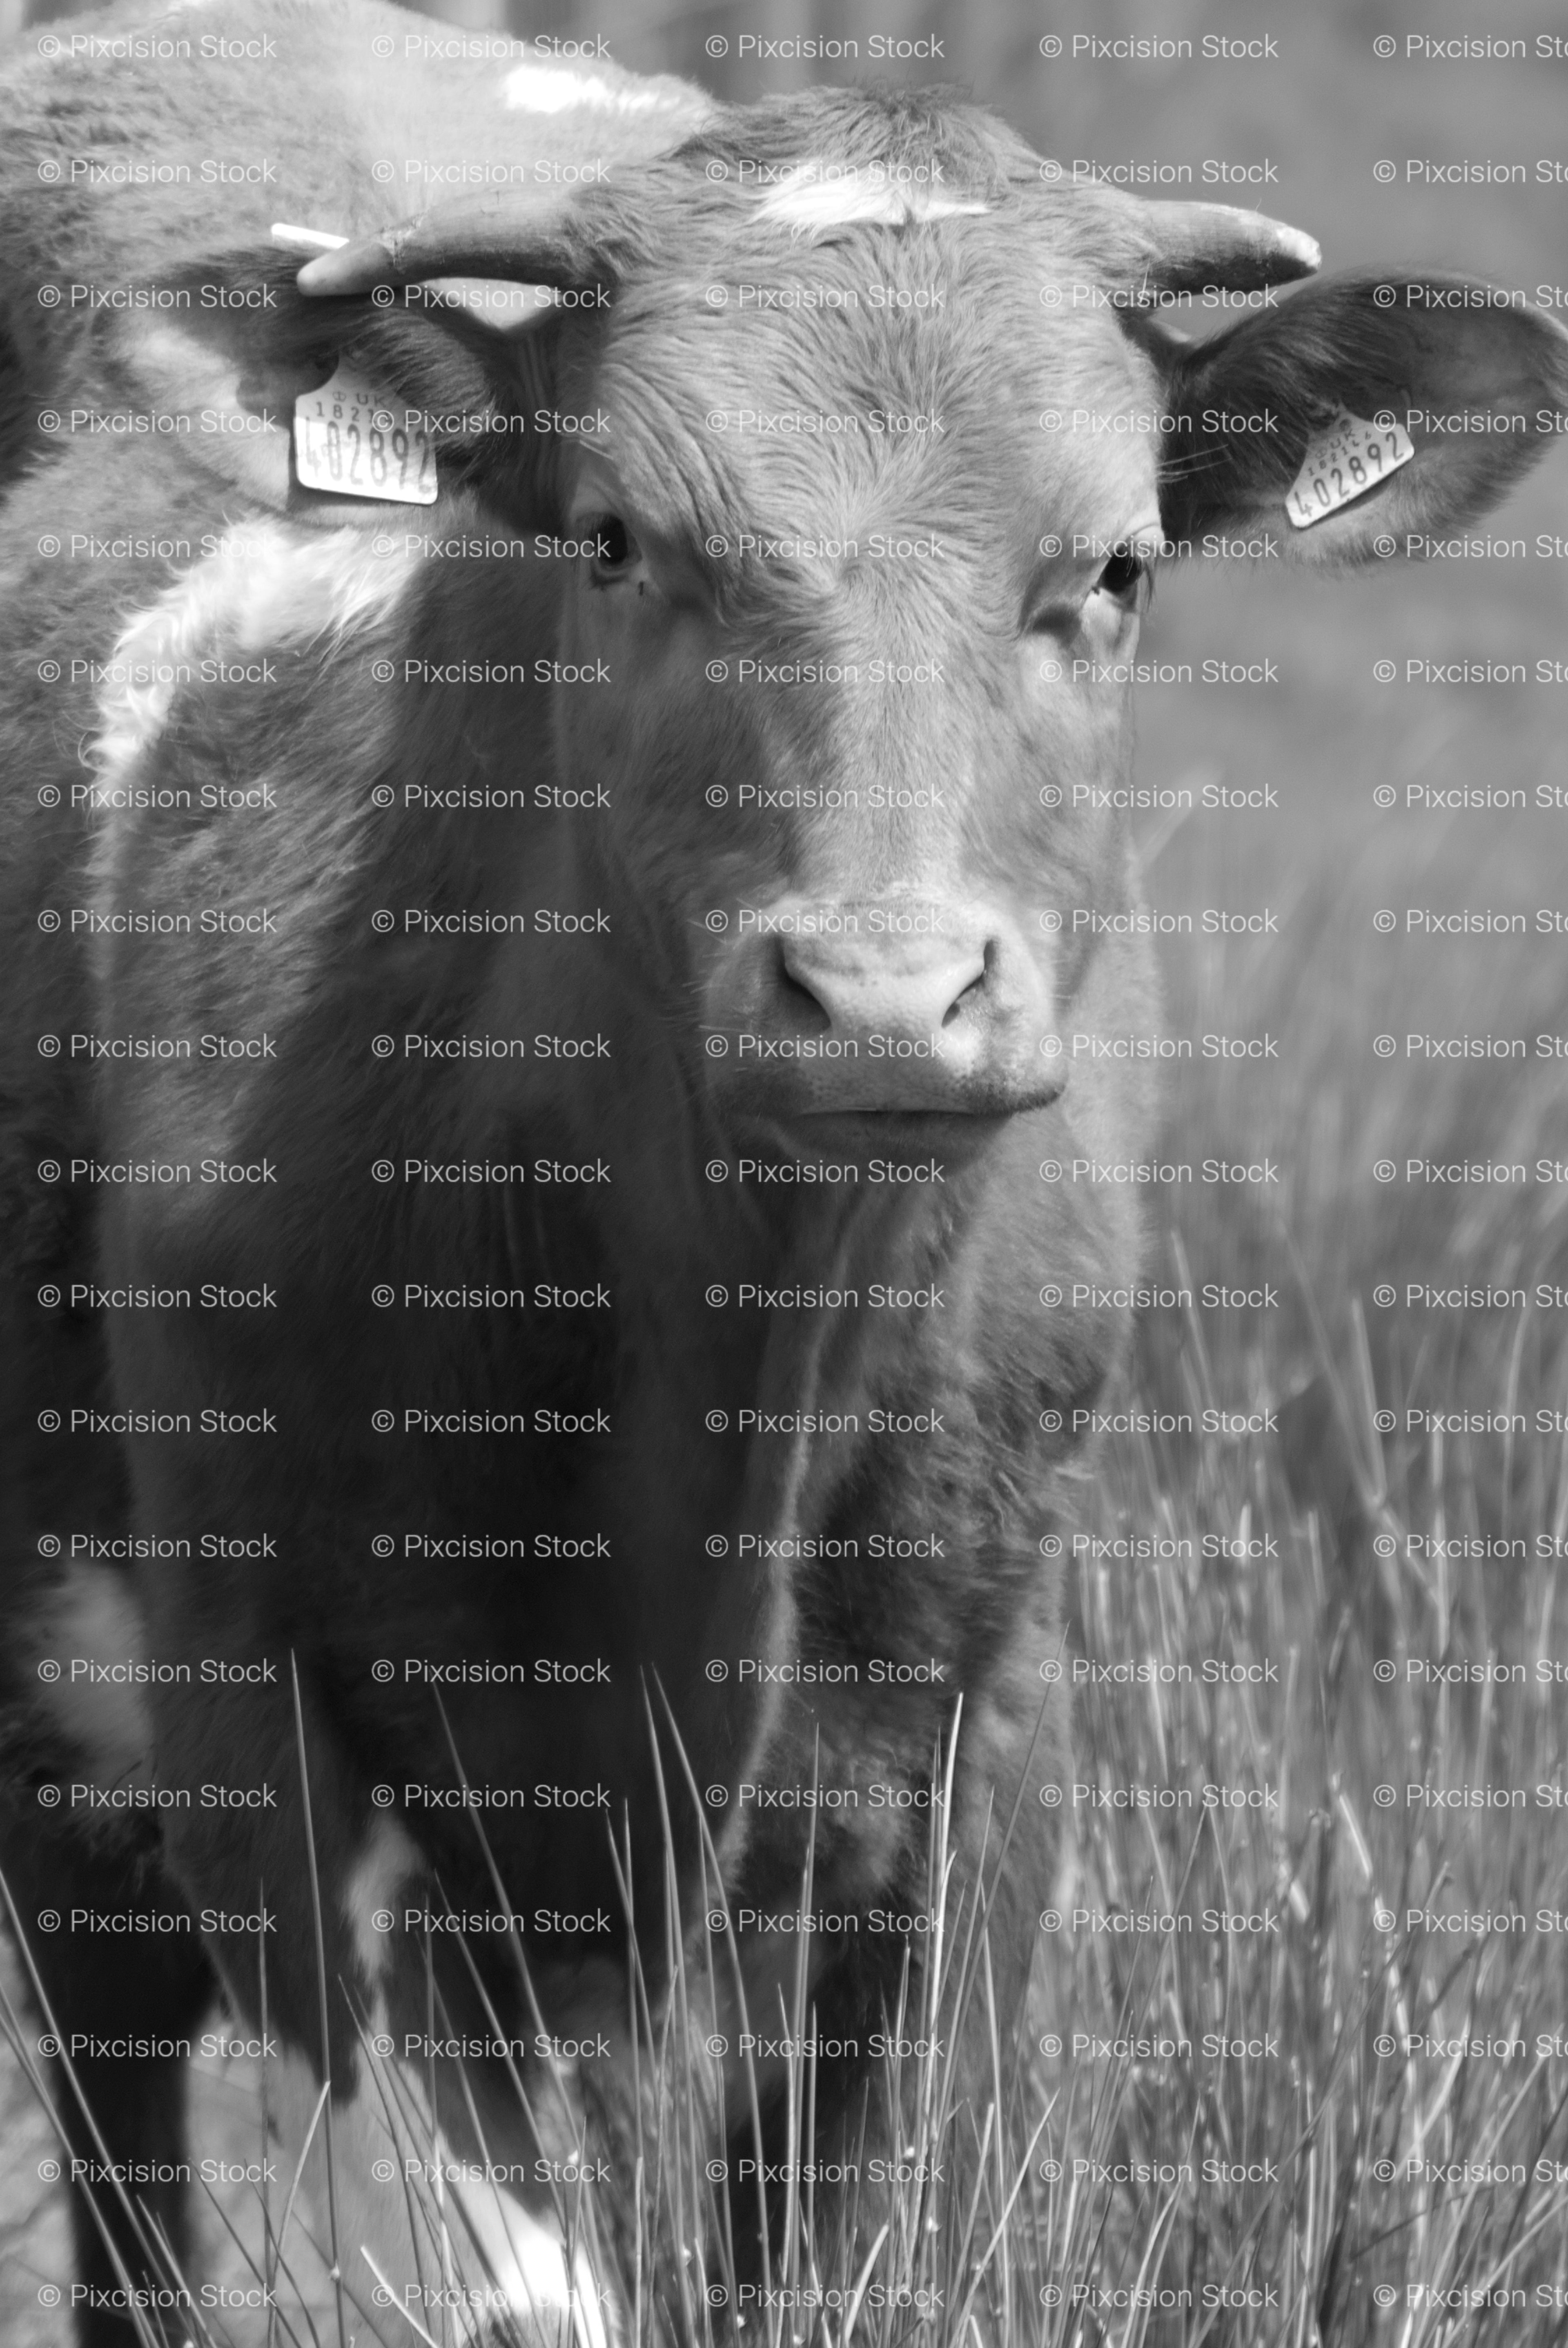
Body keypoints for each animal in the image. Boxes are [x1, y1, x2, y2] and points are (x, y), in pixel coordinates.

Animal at [3, 2, 1566, 2342]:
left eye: (1118, 569)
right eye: (614, 539)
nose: (887, 995)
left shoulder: (954, 1746)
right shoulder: (253, 1739)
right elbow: (478, 2253)